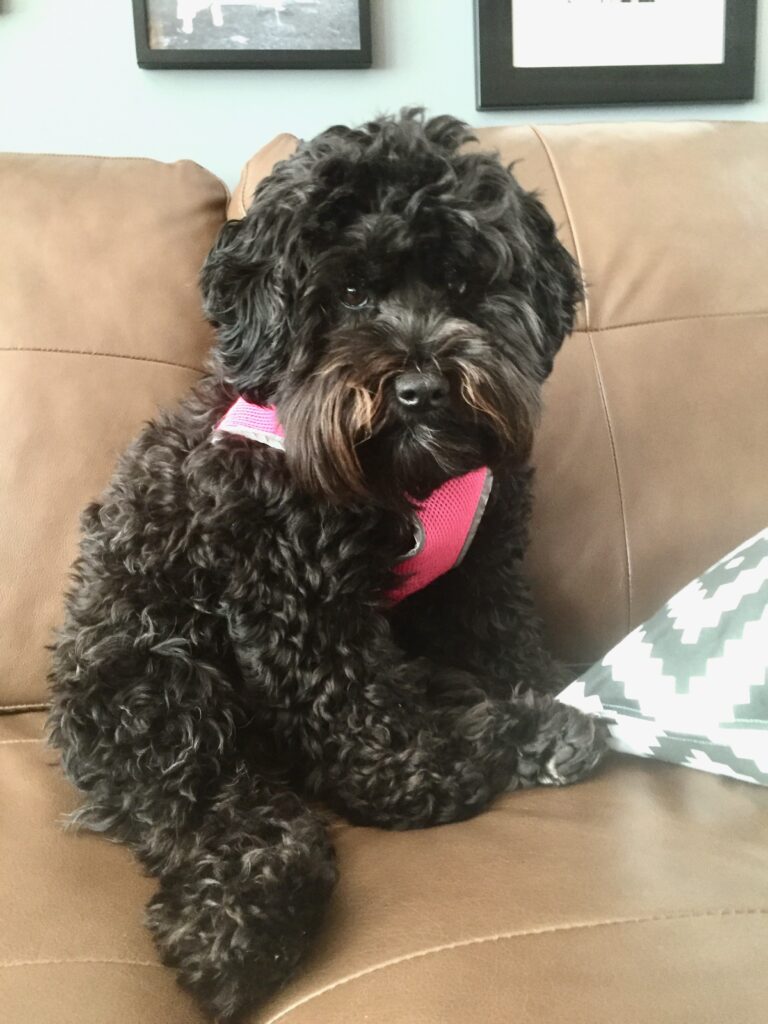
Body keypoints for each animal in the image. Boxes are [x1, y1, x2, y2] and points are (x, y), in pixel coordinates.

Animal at [49, 108, 606, 1019]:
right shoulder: (292, 597)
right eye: (347, 293)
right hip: (158, 684)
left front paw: (550, 698)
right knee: (213, 808)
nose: (420, 388)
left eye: (462, 287)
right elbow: (363, 725)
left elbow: (502, 642)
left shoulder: (478, 573)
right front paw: (448, 766)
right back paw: (241, 931)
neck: (404, 480)